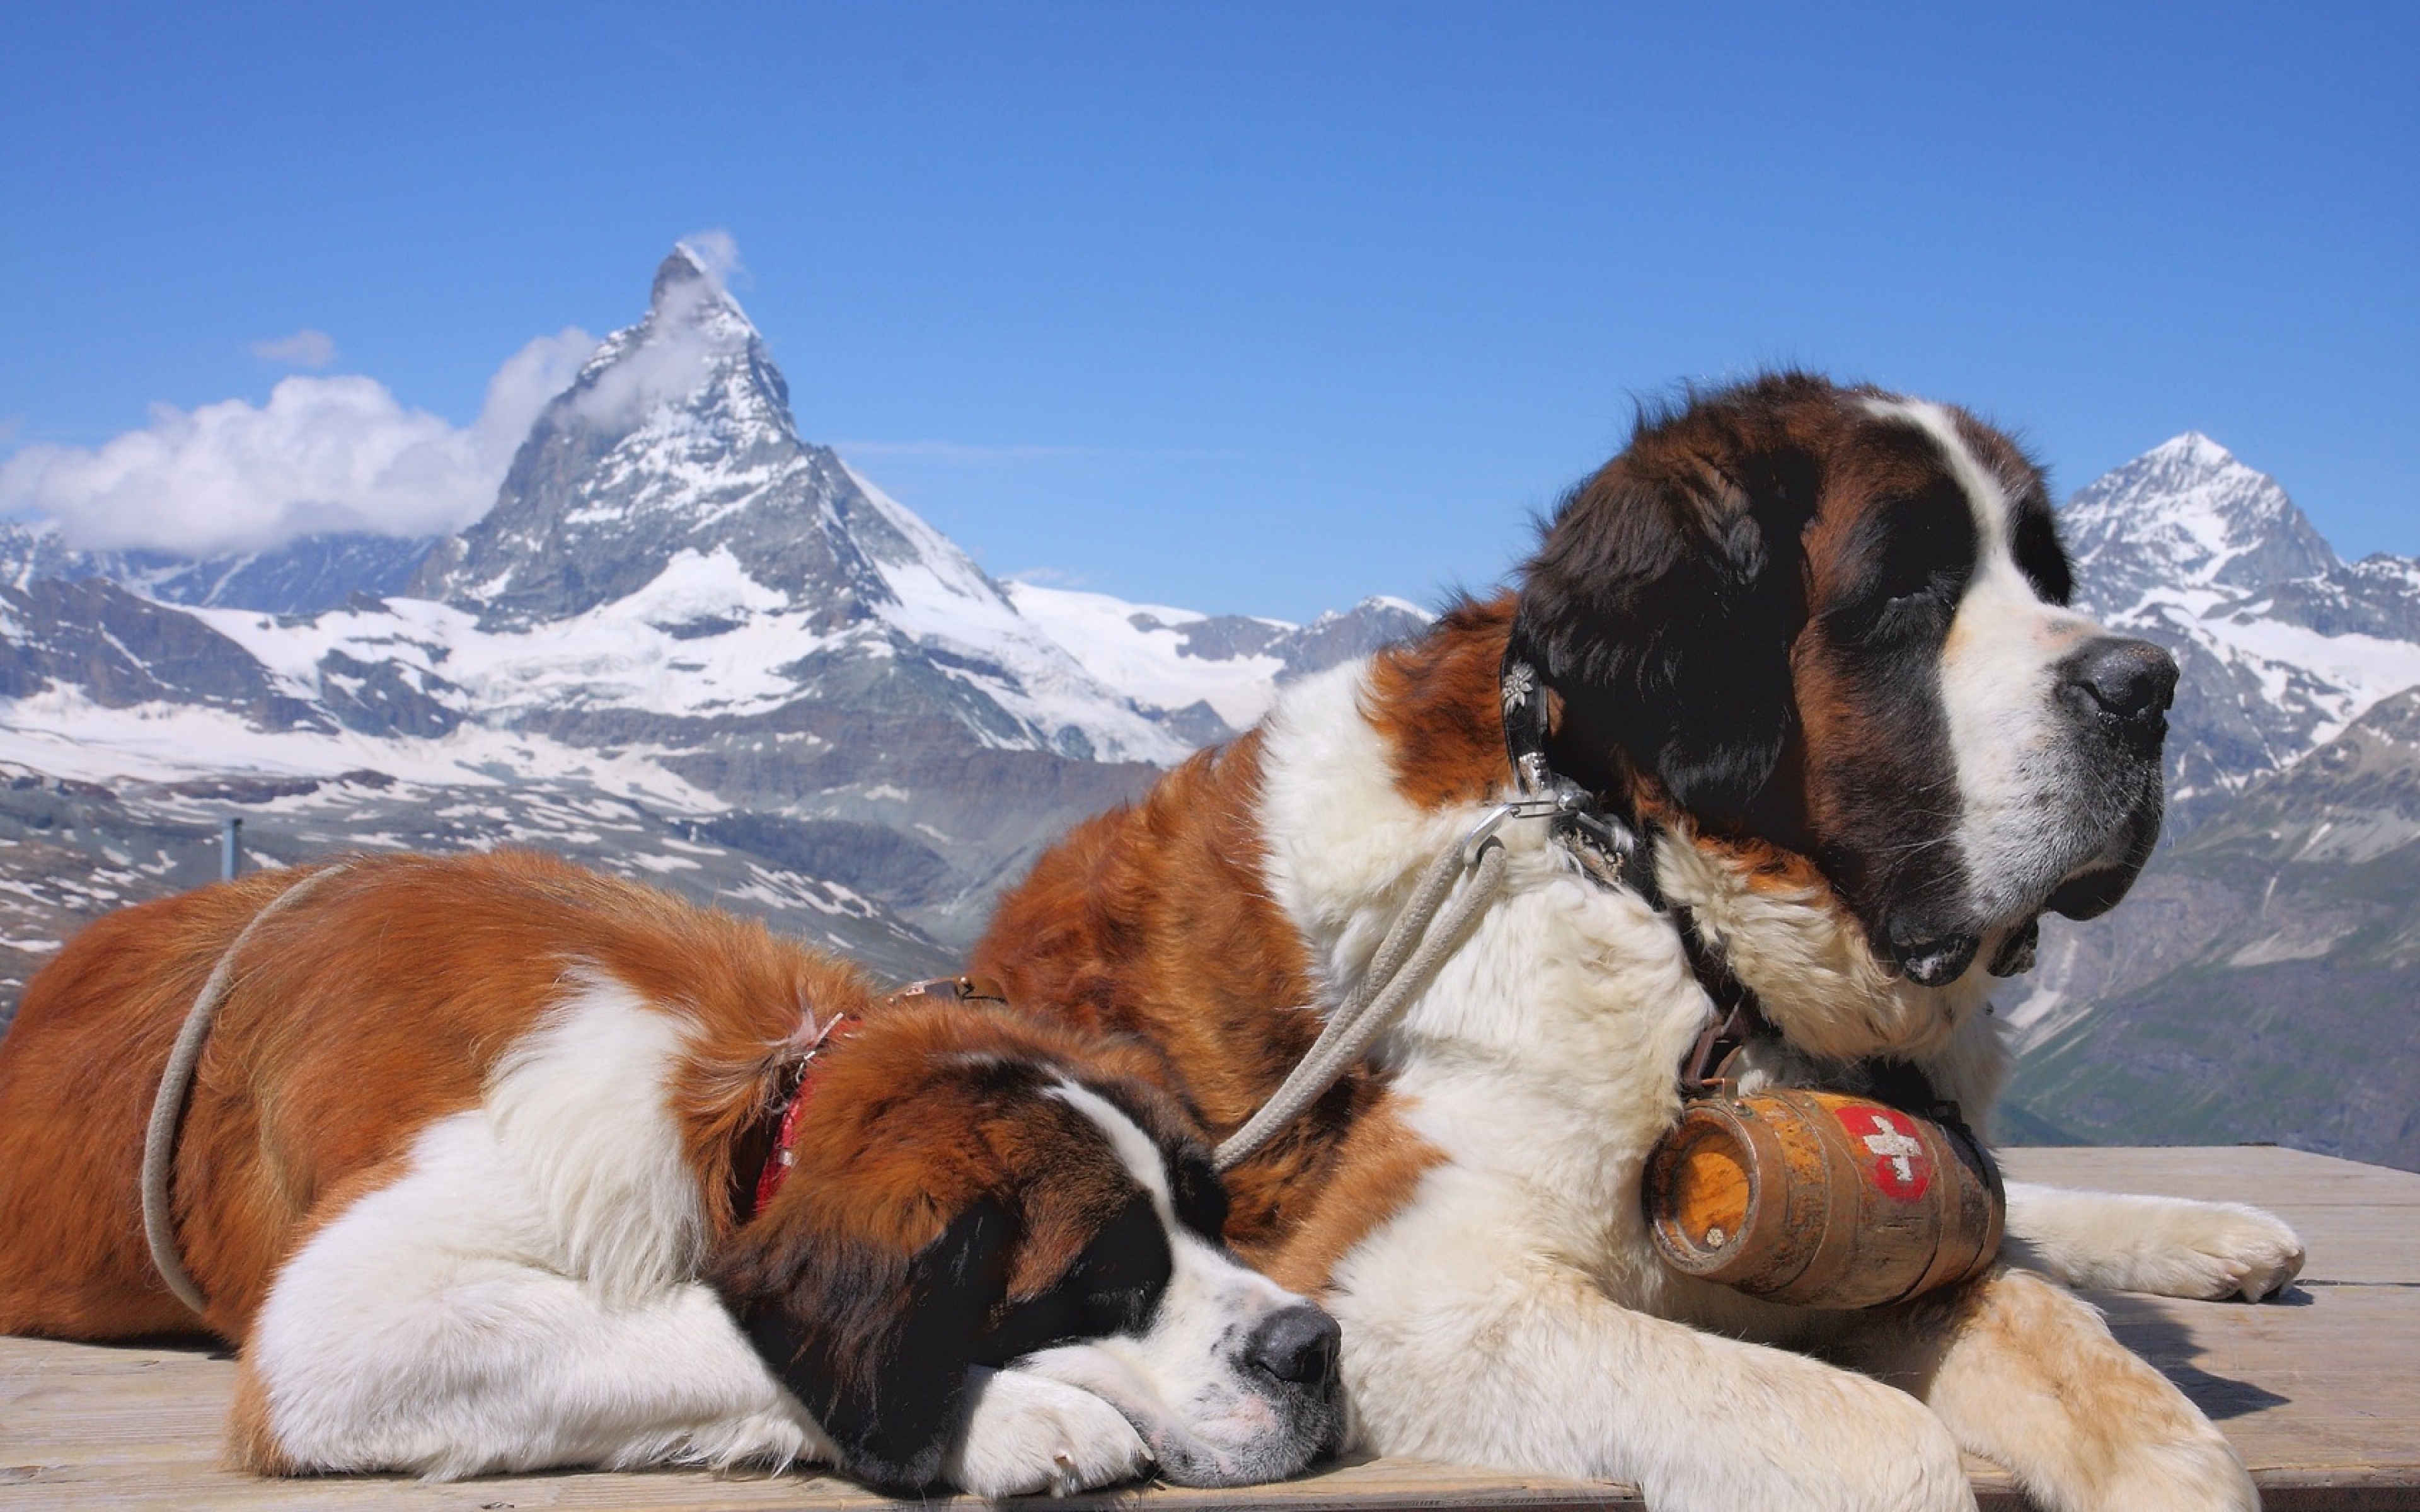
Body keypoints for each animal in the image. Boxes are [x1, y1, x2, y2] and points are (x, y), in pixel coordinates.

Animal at [0, 851, 1345, 1499]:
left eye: (1212, 1215)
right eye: (1103, 1278)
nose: (1315, 1347)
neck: (761, 1098)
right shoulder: (349, 1319)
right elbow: (706, 1327)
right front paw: (1015, 1411)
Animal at [968, 375, 2303, 1509]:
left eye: (2048, 577)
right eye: (1909, 592)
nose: (2149, 686)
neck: (1658, 892)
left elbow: (2092, 1365)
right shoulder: (1403, 1293)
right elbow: (1881, 1435)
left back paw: (2214, 1236)